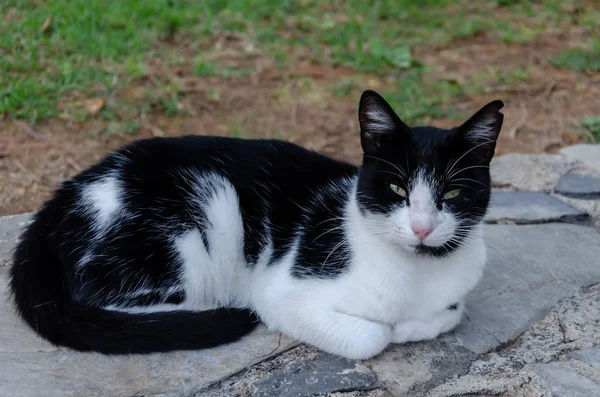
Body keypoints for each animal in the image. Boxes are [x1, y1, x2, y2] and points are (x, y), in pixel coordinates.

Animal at [11, 90, 504, 358]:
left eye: (453, 194)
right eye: (398, 189)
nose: (421, 227)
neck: (417, 273)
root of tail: (64, 195)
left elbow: (451, 312)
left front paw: (414, 323)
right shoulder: (281, 292)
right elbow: (371, 336)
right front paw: (391, 329)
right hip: (202, 216)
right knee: (104, 298)